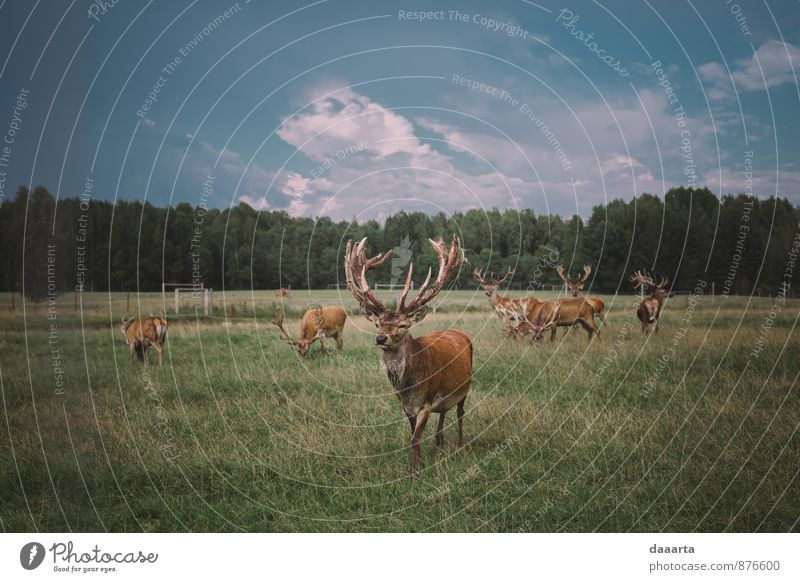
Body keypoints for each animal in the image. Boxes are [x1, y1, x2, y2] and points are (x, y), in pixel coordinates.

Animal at [342, 235, 468, 476]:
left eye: (402, 325)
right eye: (377, 324)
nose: (381, 338)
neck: (408, 387)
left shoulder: (426, 402)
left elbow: (415, 439)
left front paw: (413, 472)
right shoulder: (405, 405)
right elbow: (412, 435)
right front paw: (419, 463)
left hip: (465, 389)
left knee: (460, 413)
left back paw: (460, 444)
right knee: (444, 413)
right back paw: (440, 442)